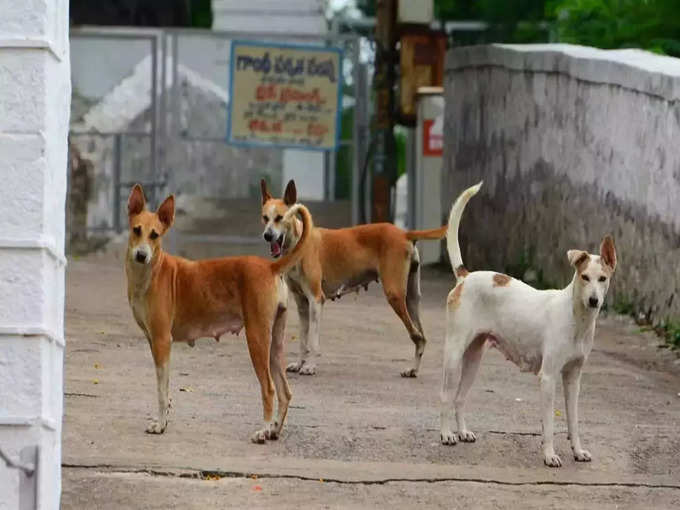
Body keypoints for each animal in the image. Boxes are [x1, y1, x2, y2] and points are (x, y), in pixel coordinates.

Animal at [125, 183, 310, 442]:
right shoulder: (155, 343)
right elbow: (166, 386)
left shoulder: (162, 341)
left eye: (155, 235)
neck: (151, 273)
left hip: (257, 338)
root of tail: (269, 266)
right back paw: (273, 429)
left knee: (269, 388)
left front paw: (160, 425)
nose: (141, 255)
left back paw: (263, 430)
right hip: (275, 343)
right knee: (285, 391)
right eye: (136, 230)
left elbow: (161, 391)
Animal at [258, 181, 446, 376]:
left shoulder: (316, 301)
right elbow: (303, 340)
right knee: (421, 336)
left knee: (417, 336)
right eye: (265, 217)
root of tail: (404, 233)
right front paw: (299, 363)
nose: (267, 235)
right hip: (411, 300)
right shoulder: (302, 304)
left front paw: (309, 366)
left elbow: (313, 341)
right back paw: (413, 369)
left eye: (280, 217)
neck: (299, 242)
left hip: (395, 295)